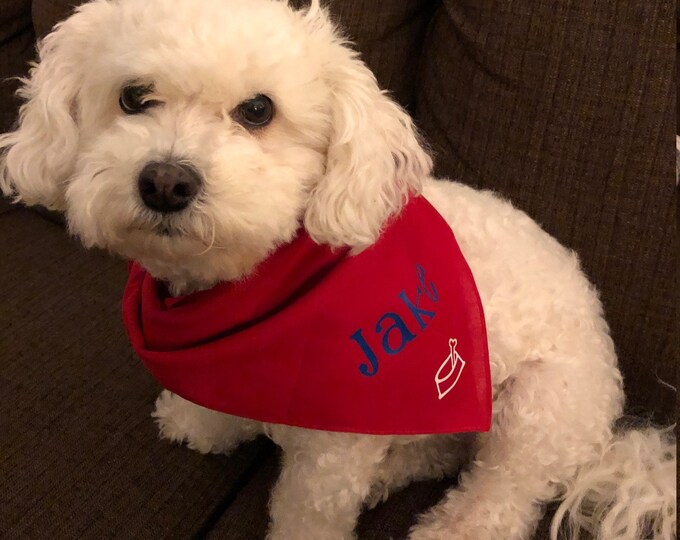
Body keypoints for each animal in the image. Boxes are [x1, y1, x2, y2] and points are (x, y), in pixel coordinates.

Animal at [2, 1, 676, 540]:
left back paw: (452, 525)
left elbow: (308, 512)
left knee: (501, 495)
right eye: (133, 97)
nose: (166, 182)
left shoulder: (334, 448)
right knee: (441, 451)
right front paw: (201, 422)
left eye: (258, 109)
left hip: (538, 410)